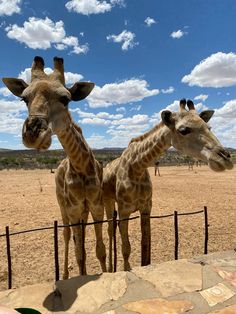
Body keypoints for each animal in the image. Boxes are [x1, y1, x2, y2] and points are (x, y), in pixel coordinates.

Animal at [1, 55, 107, 278]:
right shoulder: (73, 209)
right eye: (24, 99)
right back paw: (65, 274)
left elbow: (99, 250)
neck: (81, 166)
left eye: (66, 99)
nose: (33, 133)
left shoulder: (96, 206)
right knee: (67, 235)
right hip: (63, 206)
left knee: (79, 237)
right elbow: (79, 253)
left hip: (82, 211)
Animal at [104, 99, 233, 272]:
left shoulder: (147, 208)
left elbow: (146, 247)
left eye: (209, 127)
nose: (225, 159)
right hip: (108, 200)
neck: (137, 167)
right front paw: (125, 269)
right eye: (183, 130)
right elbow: (127, 248)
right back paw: (109, 267)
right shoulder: (124, 211)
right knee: (109, 229)